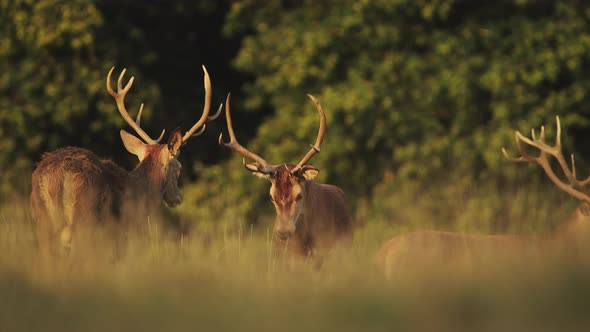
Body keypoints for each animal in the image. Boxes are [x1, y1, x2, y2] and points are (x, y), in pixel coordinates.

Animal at [30, 64, 221, 256]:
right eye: (179, 168)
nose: (178, 198)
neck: (141, 193)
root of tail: (56, 177)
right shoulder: (126, 233)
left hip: (42, 222)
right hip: (85, 219)